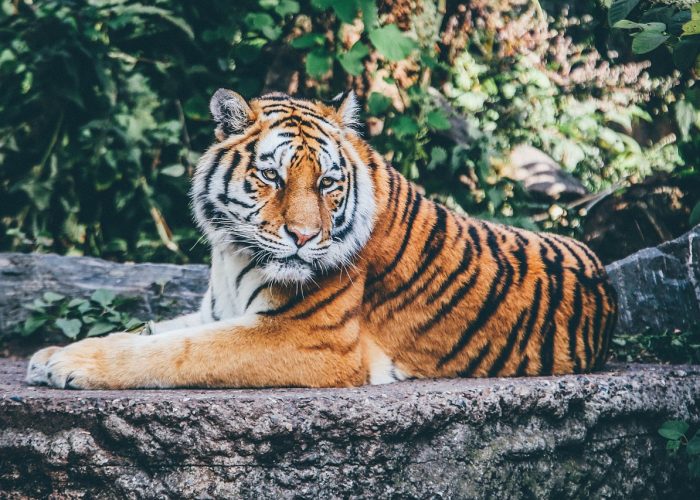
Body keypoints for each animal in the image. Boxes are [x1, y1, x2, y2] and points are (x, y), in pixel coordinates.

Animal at [26, 89, 618, 390]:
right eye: (273, 177)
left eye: (328, 183)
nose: (305, 237)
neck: (231, 254)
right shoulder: (216, 311)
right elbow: (150, 331)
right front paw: (52, 354)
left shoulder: (307, 338)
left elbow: (176, 351)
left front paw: (70, 365)